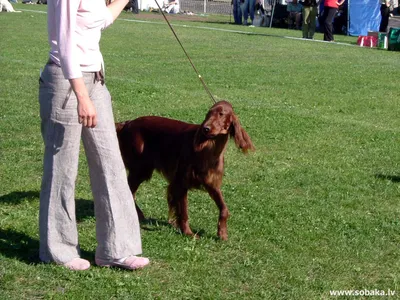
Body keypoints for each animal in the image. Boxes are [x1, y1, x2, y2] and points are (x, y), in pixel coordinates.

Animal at [115, 101, 255, 239]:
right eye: (208, 114)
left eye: (221, 114)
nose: (205, 128)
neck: (210, 148)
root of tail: (127, 123)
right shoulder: (181, 182)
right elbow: (183, 211)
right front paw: (188, 233)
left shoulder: (211, 183)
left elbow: (224, 209)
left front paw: (222, 233)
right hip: (140, 169)